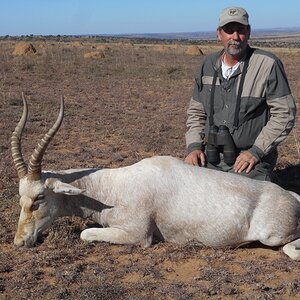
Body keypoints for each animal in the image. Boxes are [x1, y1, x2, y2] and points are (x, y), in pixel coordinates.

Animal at [11, 94, 300, 260]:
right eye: (20, 198)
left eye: (39, 198)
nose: (19, 242)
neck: (113, 188)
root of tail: (291, 197)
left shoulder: (137, 236)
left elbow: (85, 234)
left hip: (272, 237)